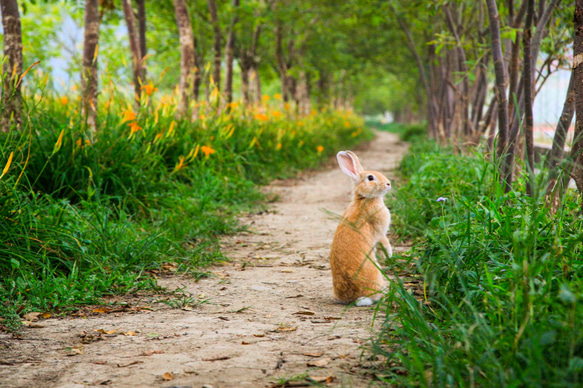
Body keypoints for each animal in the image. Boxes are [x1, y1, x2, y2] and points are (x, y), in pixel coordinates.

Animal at [328, 151, 392, 306]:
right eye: (370, 178)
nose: (388, 184)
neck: (364, 198)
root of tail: (354, 297)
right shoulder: (379, 229)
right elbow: (384, 240)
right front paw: (389, 253)